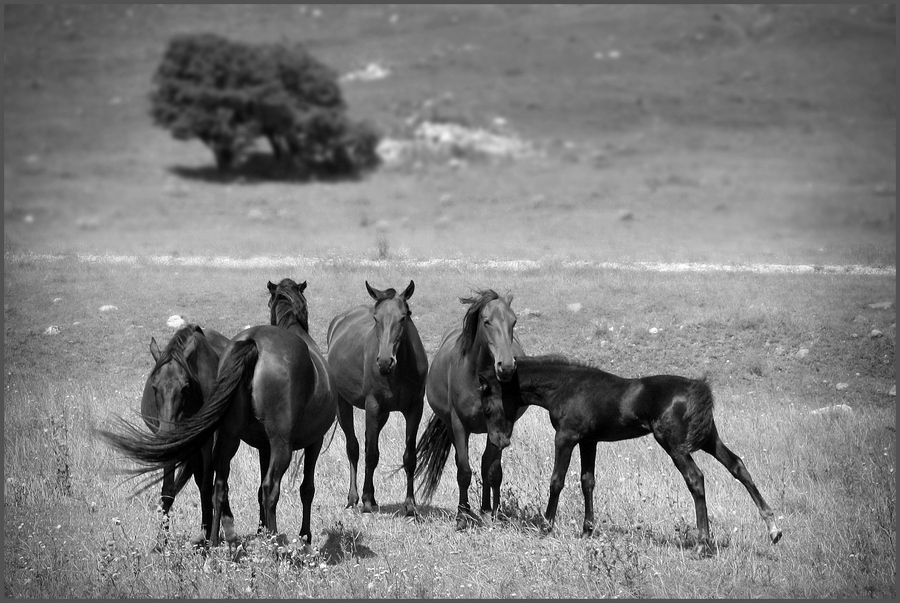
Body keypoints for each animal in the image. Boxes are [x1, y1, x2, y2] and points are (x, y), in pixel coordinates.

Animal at [141, 324, 230, 544]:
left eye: (185, 386)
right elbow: (168, 491)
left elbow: (207, 488)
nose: (167, 433)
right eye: (154, 386)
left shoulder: (207, 442)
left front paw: (208, 539)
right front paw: (161, 543)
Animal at [326, 280, 428, 516]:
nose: (384, 362)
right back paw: (354, 498)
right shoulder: (373, 406)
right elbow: (371, 454)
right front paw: (366, 502)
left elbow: (410, 457)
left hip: (383, 415)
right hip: (343, 405)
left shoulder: (414, 409)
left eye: (403, 317)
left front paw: (410, 505)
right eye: (375, 319)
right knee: (354, 448)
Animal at [414, 290, 528, 532]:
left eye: (514, 321)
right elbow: (464, 471)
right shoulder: (459, 425)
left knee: (488, 466)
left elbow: (492, 471)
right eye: (486, 322)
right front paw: (461, 516)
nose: (506, 367)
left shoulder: (499, 429)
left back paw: (488, 510)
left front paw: (493, 513)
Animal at [482, 356, 784, 560]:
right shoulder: (589, 441)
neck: (565, 387)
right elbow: (587, 481)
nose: (499, 441)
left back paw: (702, 543)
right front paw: (587, 531)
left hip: (675, 446)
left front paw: (546, 526)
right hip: (710, 439)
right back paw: (773, 529)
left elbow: (557, 480)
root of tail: (698, 388)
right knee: (737, 466)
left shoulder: (566, 437)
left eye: (487, 405)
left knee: (696, 478)